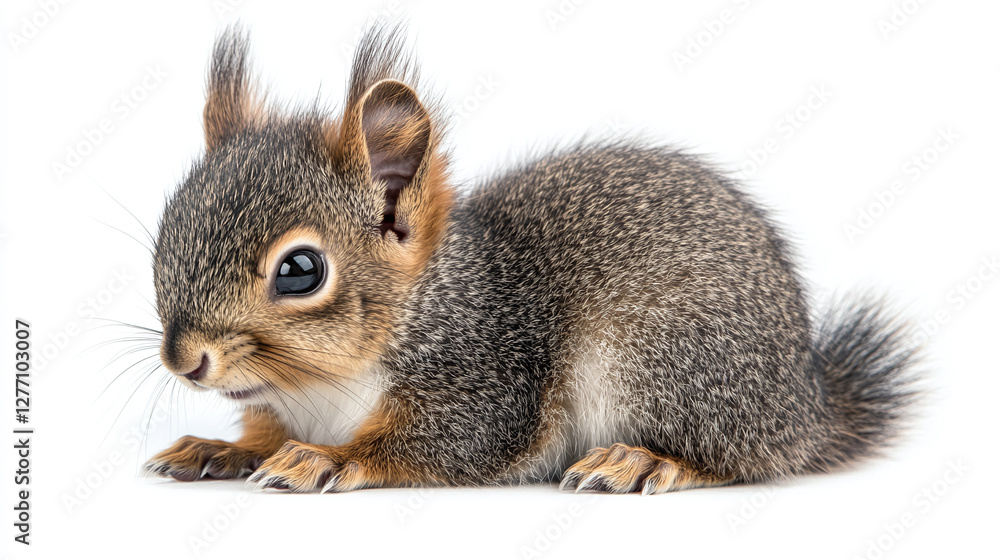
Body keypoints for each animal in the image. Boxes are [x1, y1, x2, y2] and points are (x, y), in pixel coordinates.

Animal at [142, 24, 918, 494]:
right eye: (167, 228)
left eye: (301, 270)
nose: (185, 361)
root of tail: (805, 405)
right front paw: (217, 448)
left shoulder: (488, 378)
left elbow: (435, 445)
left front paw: (325, 458)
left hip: (672, 362)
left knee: (733, 459)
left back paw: (641, 460)